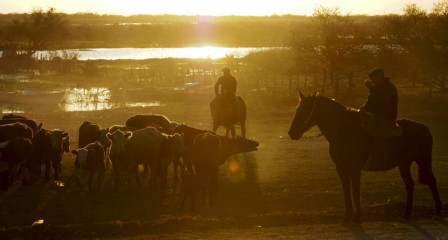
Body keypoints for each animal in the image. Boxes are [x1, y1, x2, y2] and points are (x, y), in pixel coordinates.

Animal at [288, 92, 442, 221]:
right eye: (297, 109)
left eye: (306, 109)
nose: (292, 133)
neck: (344, 132)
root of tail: (424, 128)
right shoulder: (341, 168)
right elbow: (346, 190)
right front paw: (348, 216)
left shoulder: (355, 168)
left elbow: (355, 191)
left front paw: (357, 216)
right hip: (404, 164)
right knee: (410, 184)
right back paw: (407, 213)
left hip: (423, 160)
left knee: (432, 181)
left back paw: (438, 211)